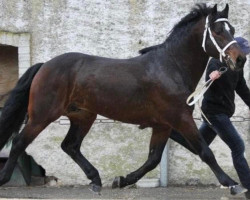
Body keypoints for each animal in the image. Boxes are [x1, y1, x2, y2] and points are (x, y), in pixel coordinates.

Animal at [0, 3, 246, 194]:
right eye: (217, 31)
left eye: (232, 29)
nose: (240, 59)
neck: (170, 67)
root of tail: (45, 66)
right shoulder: (181, 119)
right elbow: (205, 152)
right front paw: (233, 184)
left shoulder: (163, 125)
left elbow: (153, 159)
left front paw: (122, 180)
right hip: (42, 116)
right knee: (20, 143)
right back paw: (4, 178)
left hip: (83, 116)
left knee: (70, 145)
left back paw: (96, 179)